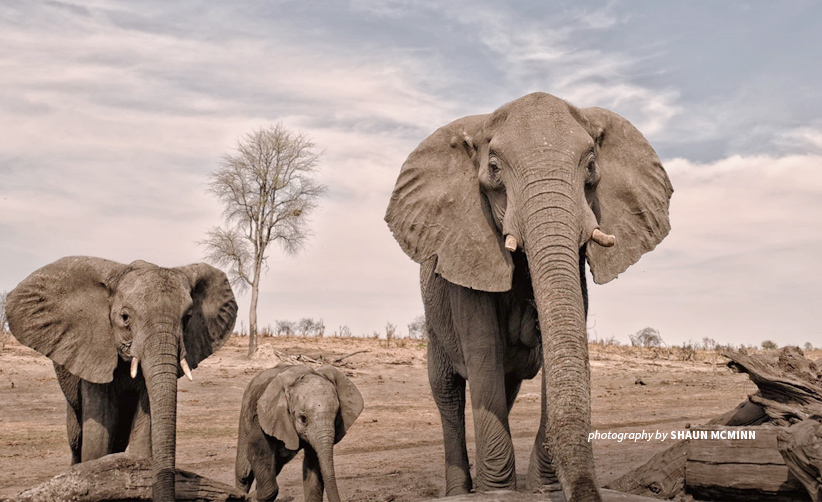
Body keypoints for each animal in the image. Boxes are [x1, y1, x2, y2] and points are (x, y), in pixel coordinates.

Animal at [6, 256, 238, 500]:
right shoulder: (94, 352)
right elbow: (100, 431)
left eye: (188, 319)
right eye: (125, 318)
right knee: (76, 438)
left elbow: (143, 432)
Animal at [235, 362, 364, 502]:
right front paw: (253, 496)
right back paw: (240, 494)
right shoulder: (263, 415)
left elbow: (314, 462)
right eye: (303, 419)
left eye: (336, 417)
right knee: (244, 473)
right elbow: (258, 448)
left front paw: (254, 495)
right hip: (245, 412)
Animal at [386, 92, 676, 500]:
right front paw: (496, 490)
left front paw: (541, 487)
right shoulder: (469, 251)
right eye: (494, 169)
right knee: (447, 391)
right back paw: (459, 489)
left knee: (504, 389)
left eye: (591, 167)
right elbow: (483, 347)